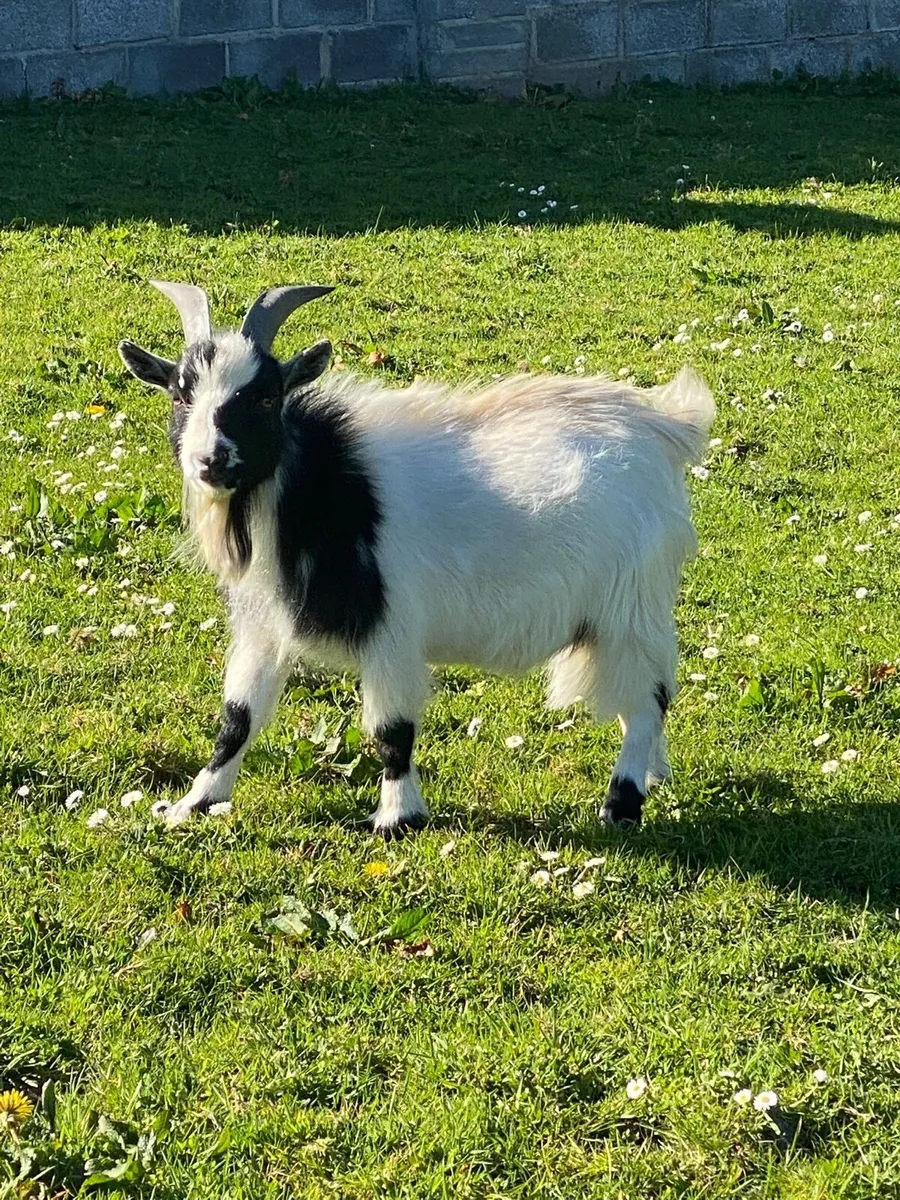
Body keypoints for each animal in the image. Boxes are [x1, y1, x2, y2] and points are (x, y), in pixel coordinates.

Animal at [119, 281, 714, 838]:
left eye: (266, 397)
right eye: (180, 394)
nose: (212, 460)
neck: (320, 484)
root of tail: (666, 425)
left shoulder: (392, 627)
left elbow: (392, 730)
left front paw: (397, 817)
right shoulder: (266, 622)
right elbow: (238, 717)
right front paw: (193, 803)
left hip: (632, 604)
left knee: (649, 699)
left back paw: (622, 803)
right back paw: (655, 774)